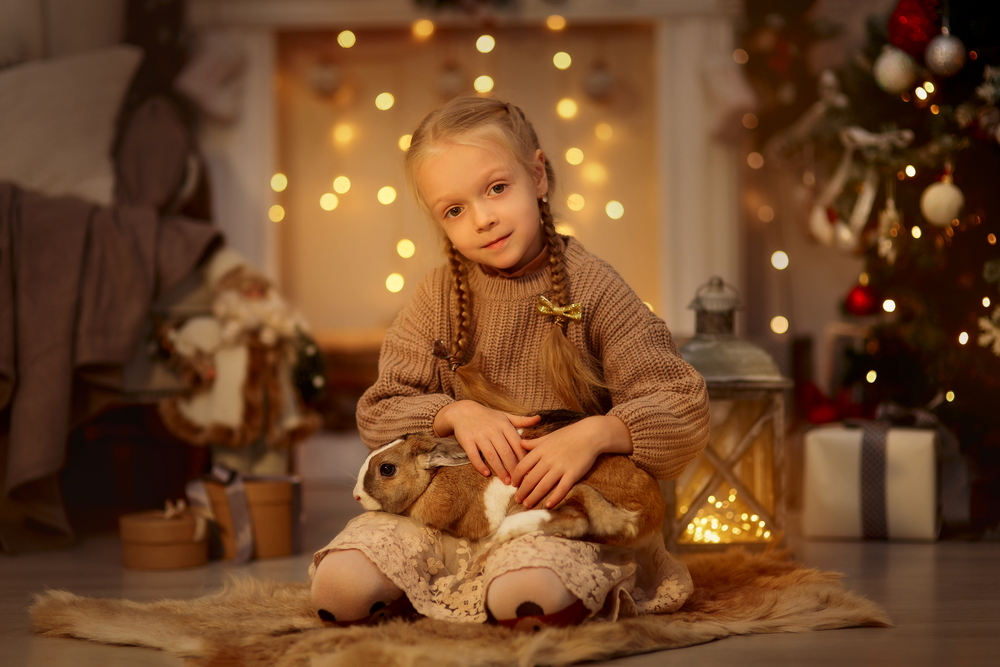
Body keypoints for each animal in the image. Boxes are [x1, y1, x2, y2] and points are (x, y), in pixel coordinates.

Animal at [352, 412, 664, 548]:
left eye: (387, 469)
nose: (356, 496)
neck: (433, 478)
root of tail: (646, 513)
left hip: (569, 493)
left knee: (575, 521)